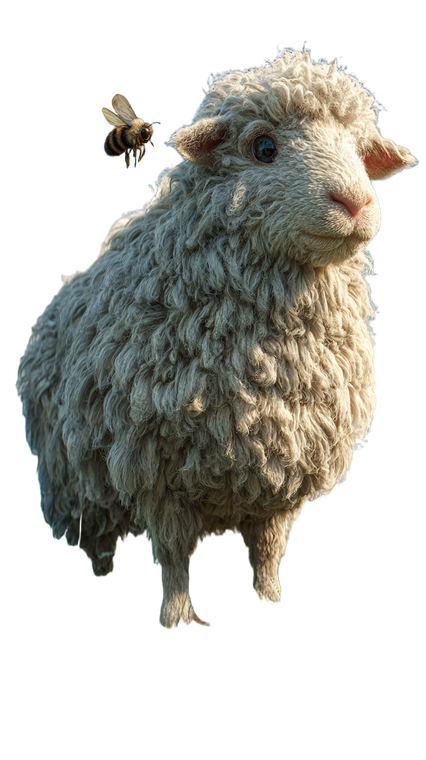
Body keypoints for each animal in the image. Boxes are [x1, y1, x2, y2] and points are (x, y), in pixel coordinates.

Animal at [15, 46, 418, 628]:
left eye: (361, 152)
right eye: (264, 148)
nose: (354, 202)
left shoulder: (280, 475)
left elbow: (267, 549)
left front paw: (270, 598)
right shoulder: (156, 475)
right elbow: (172, 559)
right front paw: (178, 615)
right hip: (73, 478)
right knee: (96, 538)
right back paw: (103, 573)